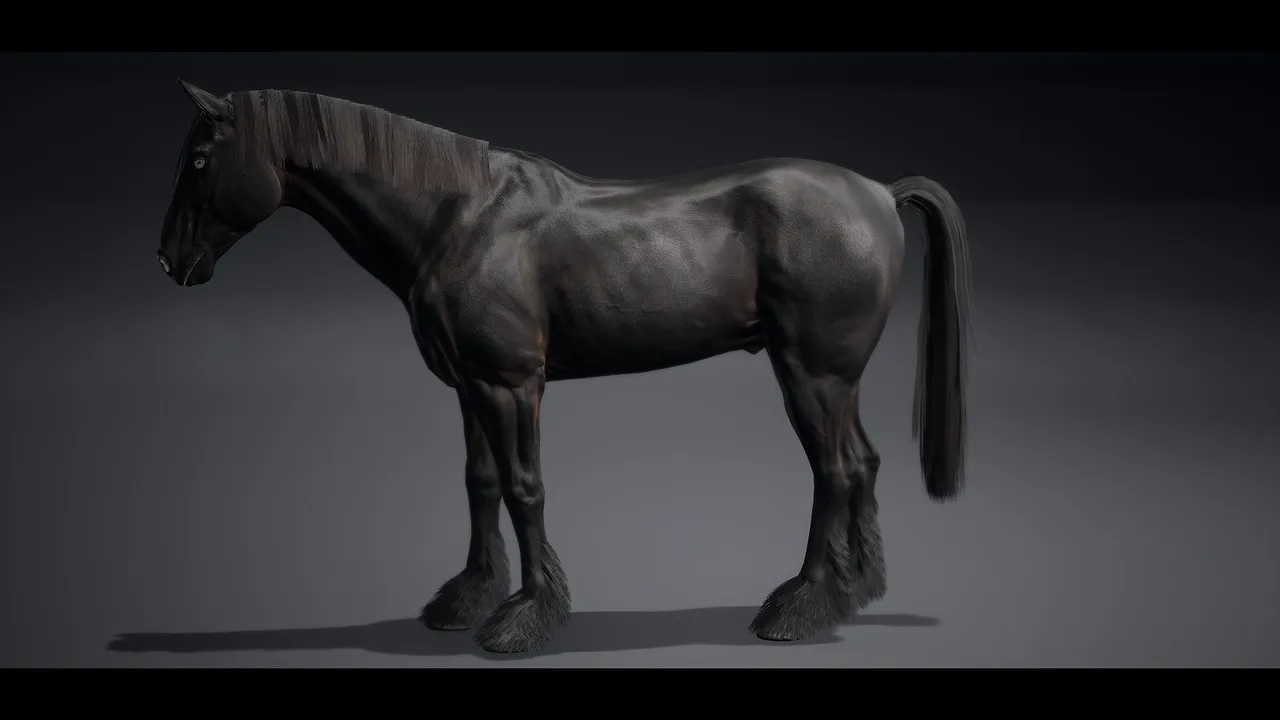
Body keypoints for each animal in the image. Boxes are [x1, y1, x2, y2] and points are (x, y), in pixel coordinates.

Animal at [157, 79, 973, 654]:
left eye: (198, 159)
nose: (169, 261)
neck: (456, 219)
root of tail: (878, 193)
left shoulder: (511, 385)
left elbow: (525, 490)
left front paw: (526, 617)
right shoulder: (470, 386)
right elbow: (480, 483)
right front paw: (465, 599)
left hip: (811, 375)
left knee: (833, 470)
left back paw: (797, 606)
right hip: (837, 380)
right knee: (862, 464)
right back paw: (855, 587)